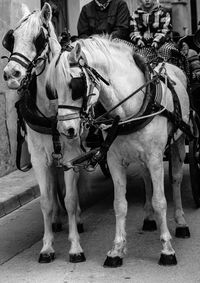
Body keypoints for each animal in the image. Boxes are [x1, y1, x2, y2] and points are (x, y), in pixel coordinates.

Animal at [2, 2, 85, 266]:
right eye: (11, 38)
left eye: (39, 38)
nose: (11, 74)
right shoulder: (39, 158)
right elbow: (46, 201)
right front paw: (47, 246)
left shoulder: (71, 155)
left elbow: (70, 199)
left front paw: (75, 246)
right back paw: (58, 220)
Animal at [45, 36, 191, 268]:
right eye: (53, 90)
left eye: (75, 85)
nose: (65, 130)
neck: (130, 111)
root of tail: (167, 62)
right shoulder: (114, 161)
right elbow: (120, 204)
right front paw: (116, 250)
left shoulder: (155, 159)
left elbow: (160, 201)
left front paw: (167, 249)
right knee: (146, 180)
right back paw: (149, 218)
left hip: (179, 140)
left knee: (176, 180)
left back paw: (181, 222)